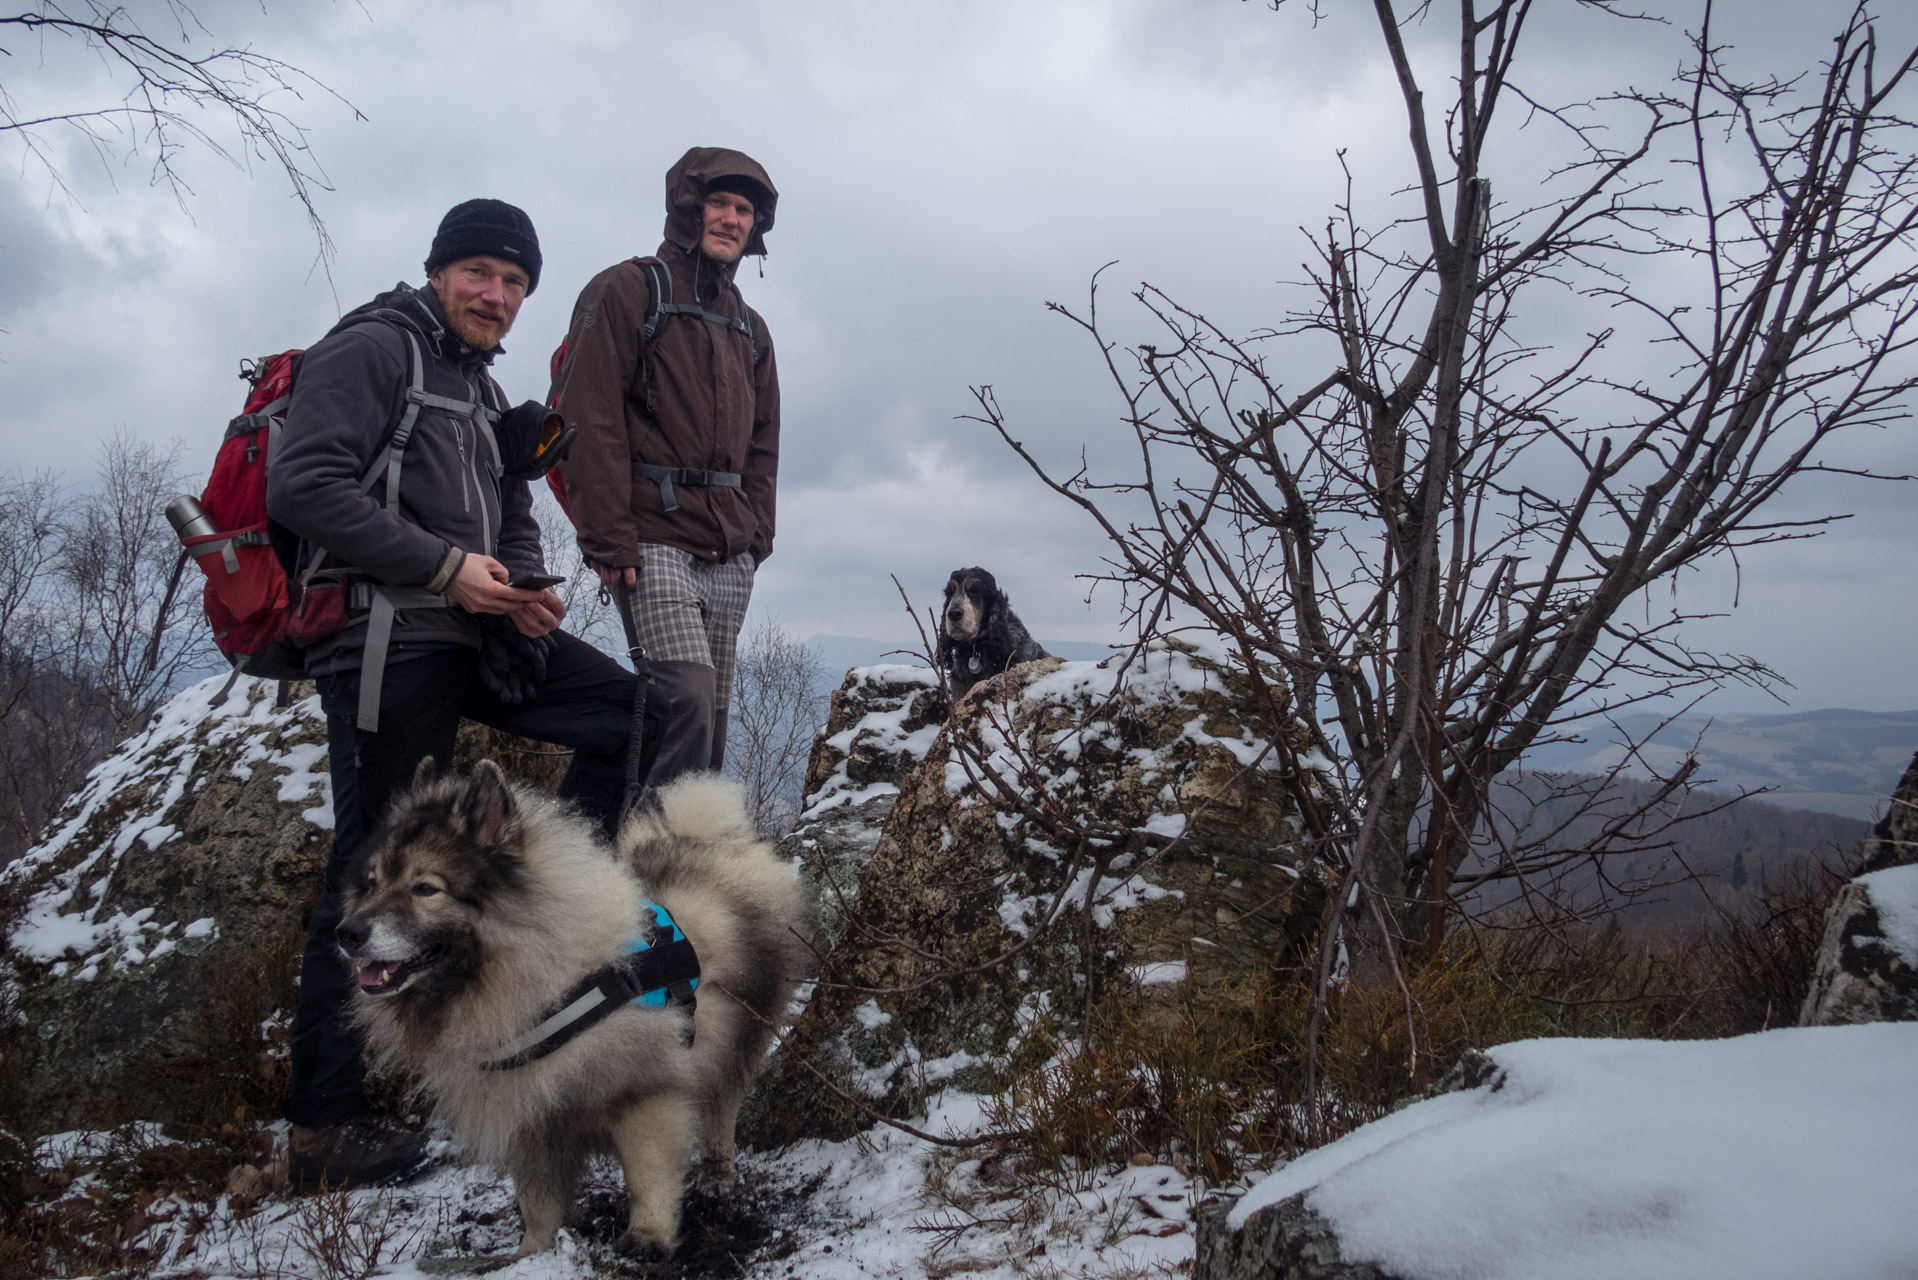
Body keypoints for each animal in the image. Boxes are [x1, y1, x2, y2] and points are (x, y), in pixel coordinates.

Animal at [335, 759, 809, 1258]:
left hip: (740, 1034)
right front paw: (531, 1253)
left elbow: (647, 1176)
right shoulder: (530, 1120)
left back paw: (717, 1173)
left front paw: (649, 1235)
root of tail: (705, 840)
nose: (347, 933)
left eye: (425, 888)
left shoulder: (644, 1096)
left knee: (722, 1106)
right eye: (371, 884)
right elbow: (537, 1200)